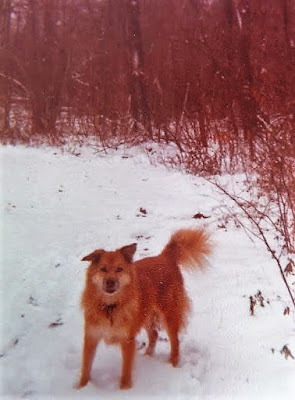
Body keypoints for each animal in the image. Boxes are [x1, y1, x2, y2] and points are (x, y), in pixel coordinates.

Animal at [78, 228, 212, 390]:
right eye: (103, 269)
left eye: (119, 269)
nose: (111, 282)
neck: (110, 307)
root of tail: (164, 257)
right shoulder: (91, 337)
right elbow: (86, 367)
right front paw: (82, 387)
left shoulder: (127, 340)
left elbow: (126, 370)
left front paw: (124, 389)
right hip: (146, 313)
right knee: (154, 334)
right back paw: (148, 356)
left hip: (169, 313)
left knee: (175, 341)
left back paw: (172, 363)